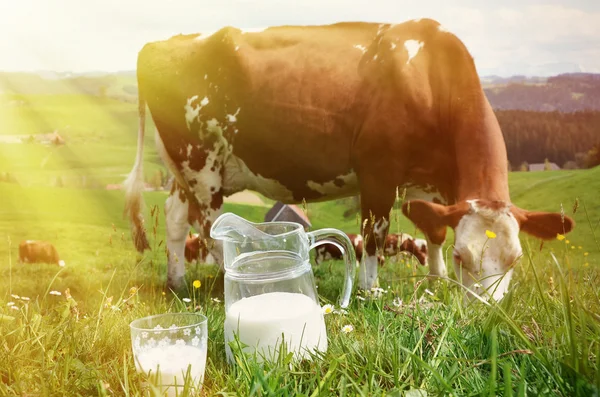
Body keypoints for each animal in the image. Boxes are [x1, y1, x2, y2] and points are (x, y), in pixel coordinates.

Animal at [124, 17, 576, 296]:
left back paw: (177, 283)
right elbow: (374, 232)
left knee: (176, 218)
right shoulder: (378, 169)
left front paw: (436, 281)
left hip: (186, 169)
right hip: (202, 166)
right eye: (465, 257)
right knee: (211, 229)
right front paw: (370, 288)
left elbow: (434, 230)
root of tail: (161, 42)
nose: (485, 313)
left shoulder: (431, 180)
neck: (429, 75)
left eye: (515, 260)